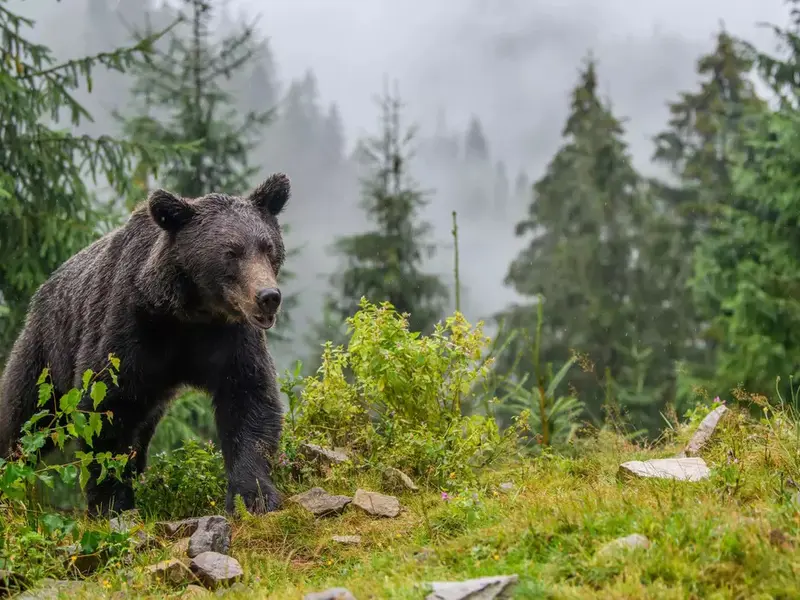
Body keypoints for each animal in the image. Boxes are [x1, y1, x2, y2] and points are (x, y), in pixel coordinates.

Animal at [0, 172, 292, 516]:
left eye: (268, 247)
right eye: (231, 252)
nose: (268, 296)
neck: (188, 313)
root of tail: (42, 289)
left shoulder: (228, 338)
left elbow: (248, 400)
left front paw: (254, 496)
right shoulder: (128, 330)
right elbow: (107, 410)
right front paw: (111, 502)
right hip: (46, 352)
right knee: (25, 416)